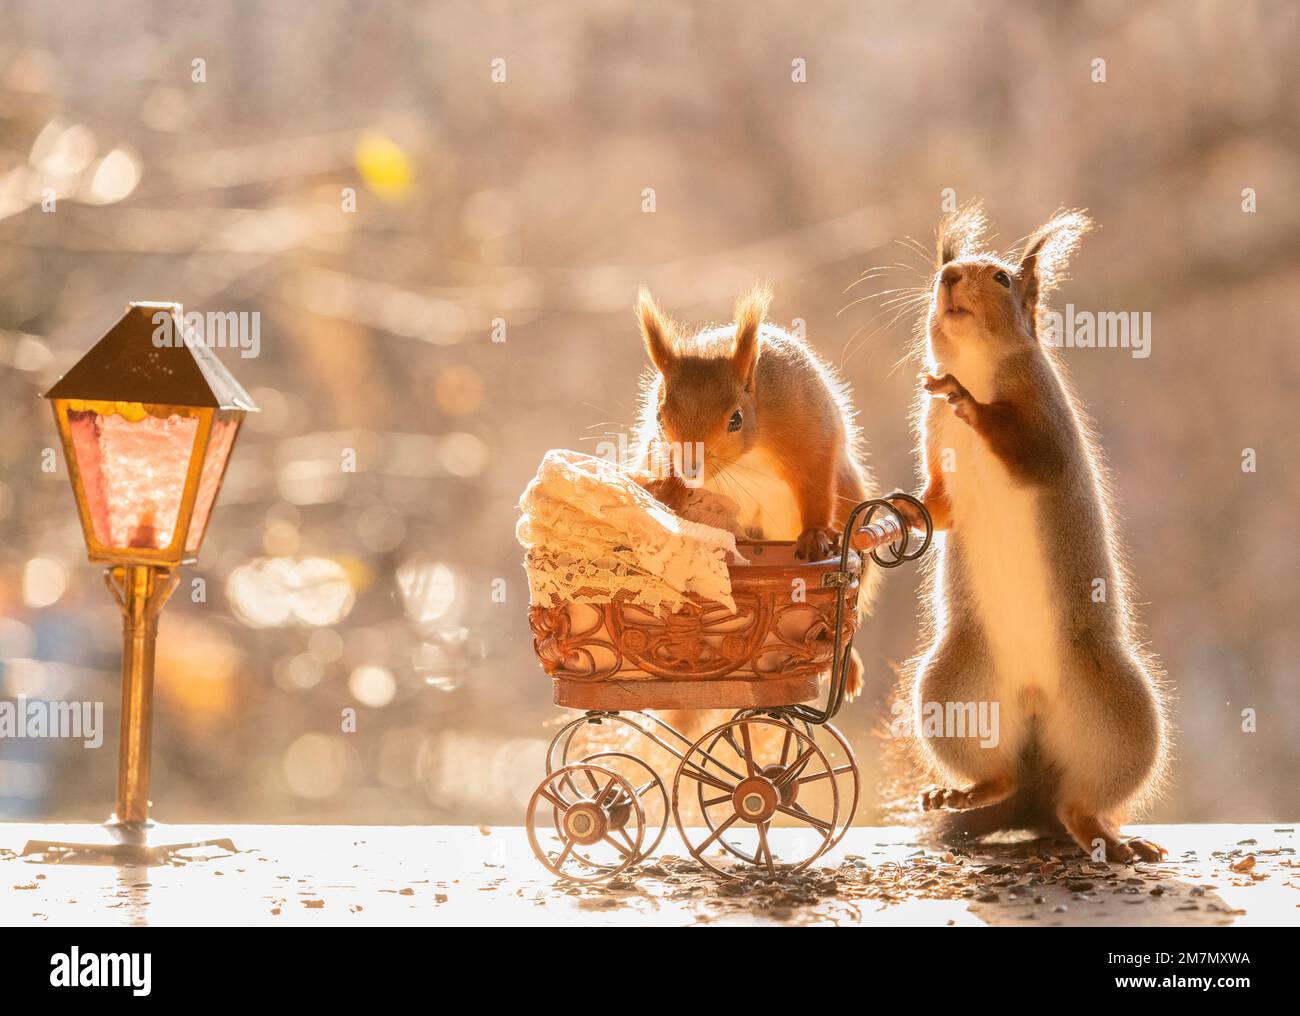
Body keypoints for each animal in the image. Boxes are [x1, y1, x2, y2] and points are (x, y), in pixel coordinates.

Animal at [631, 285, 878, 701]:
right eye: (660, 417)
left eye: (736, 419)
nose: (692, 469)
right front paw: (666, 491)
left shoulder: (810, 431)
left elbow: (816, 482)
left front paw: (814, 536)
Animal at [904, 209, 1170, 867]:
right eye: (941, 270)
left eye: (1001, 278)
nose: (948, 276)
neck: (977, 364)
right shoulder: (936, 453)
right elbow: (937, 507)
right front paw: (892, 514)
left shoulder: (1049, 430)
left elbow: (1028, 454)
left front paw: (967, 401)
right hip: (955, 687)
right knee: (1001, 776)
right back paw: (967, 791)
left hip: (1119, 715)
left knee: (1083, 802)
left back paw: (1107, 835)